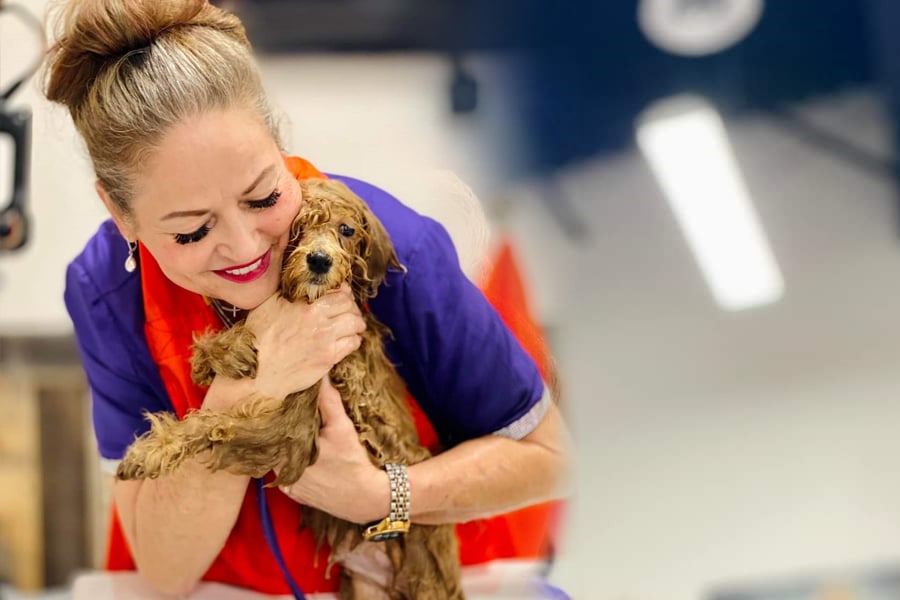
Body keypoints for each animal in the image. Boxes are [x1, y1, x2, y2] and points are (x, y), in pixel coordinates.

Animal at [118, 178, 464, 600]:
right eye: (296, 228)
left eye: (346, 230)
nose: (319, 260)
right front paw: (220, 355)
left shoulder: (288, 431)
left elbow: (207, 424)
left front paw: (149, 452)